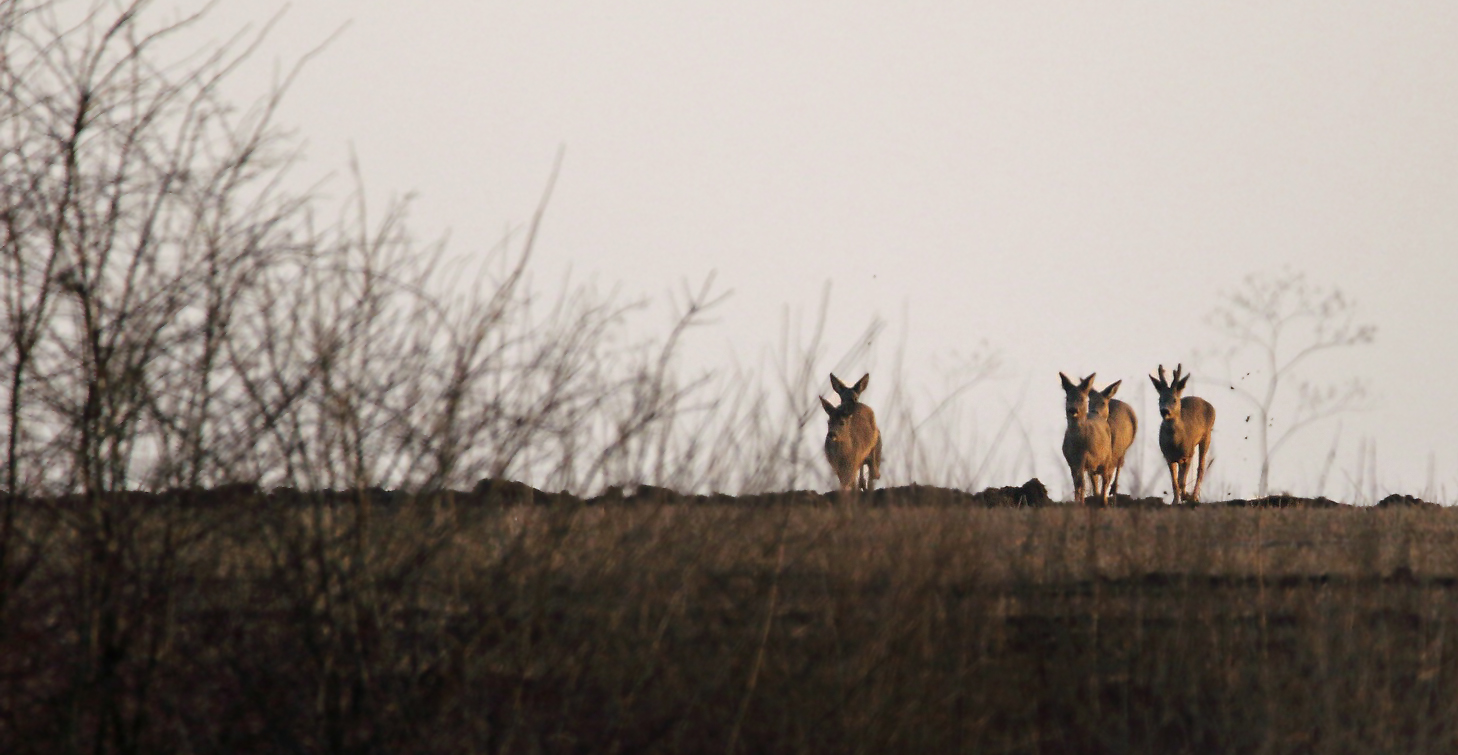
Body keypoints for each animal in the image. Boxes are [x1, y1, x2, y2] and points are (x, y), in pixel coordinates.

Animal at [1061, 373, 1113, 510]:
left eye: (1082, 399)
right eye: (1067, 398)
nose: (1073, 410)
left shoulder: (1086, 457)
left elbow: (1082, 483)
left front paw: (1082, 504)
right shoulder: (1071, 461)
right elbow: (1077, 483)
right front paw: (1077, 503)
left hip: (1106, 457)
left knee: (1106, 478)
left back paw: (1103, 502)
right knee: (1094, 481)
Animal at [1143, 365, 1213, 507]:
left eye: (1174, 400)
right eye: (1160, 399)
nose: (1164, 411)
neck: (1175, 443)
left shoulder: (1188, 454)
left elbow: (1181, 481)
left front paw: (1187, 496)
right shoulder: (1168, 457)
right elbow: (1175, 482)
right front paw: (1175, 501)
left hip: (1207, 435)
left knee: (1201, 467)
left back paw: (1194, 496)